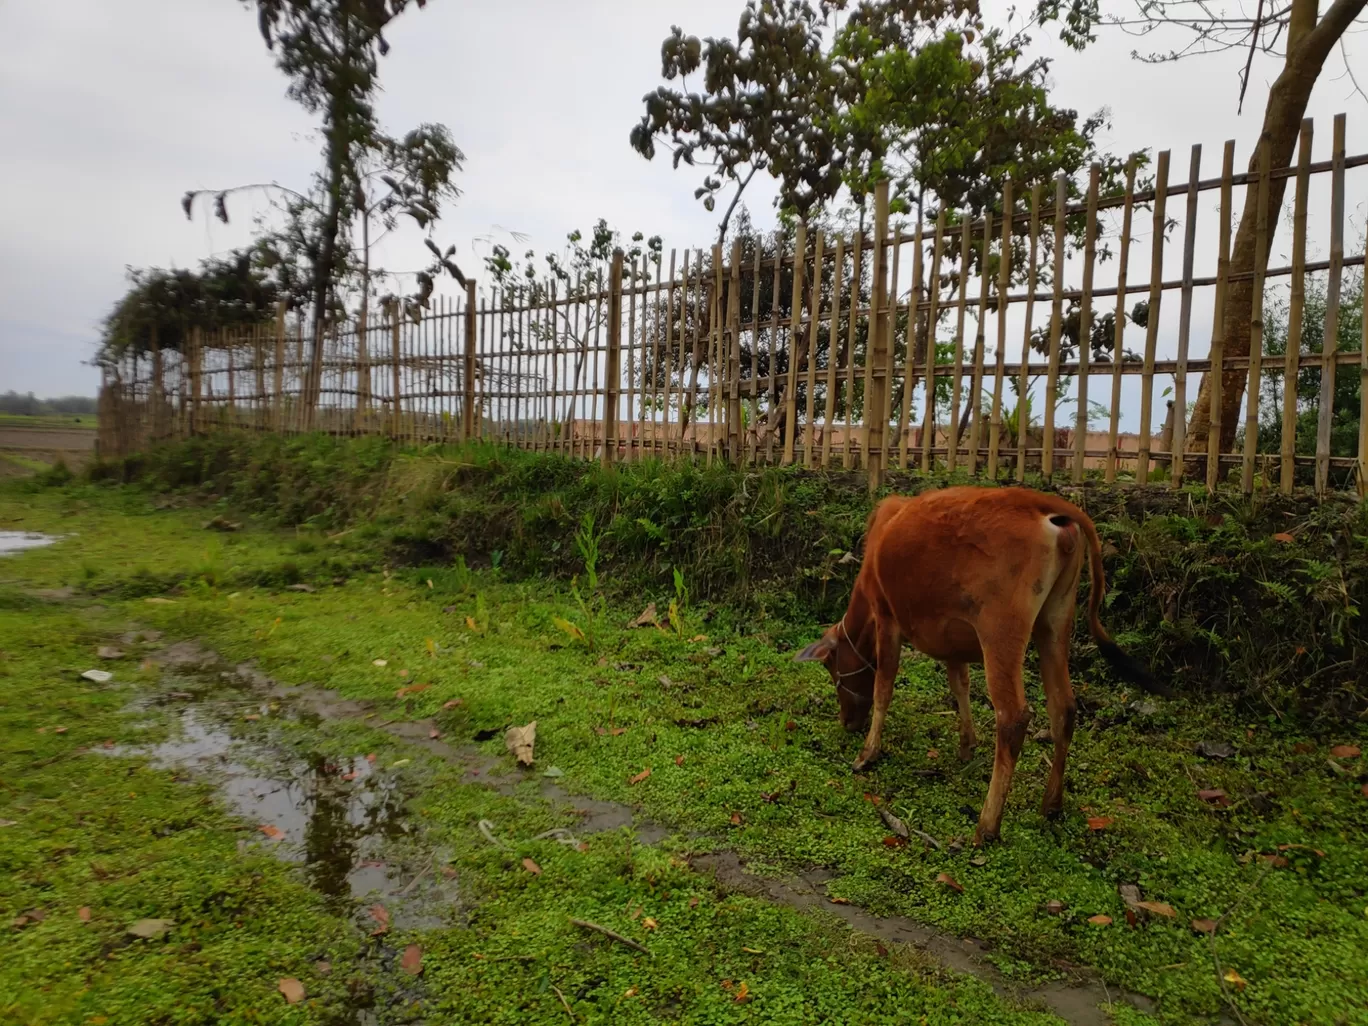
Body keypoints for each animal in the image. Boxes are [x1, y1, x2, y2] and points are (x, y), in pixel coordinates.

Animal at [793, 487, 1165, 848]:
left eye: (833, 671)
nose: (847, 722)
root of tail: (1040, 502)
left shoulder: (887, 618)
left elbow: (883, 686)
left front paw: (868, 752)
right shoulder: (952, 639)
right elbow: (960, 686)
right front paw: (967, 744)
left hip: (1000, 632)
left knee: (1013, 718)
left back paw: (987, 825)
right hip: (1055, 621)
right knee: (1064, 708)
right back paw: (1051, 804)